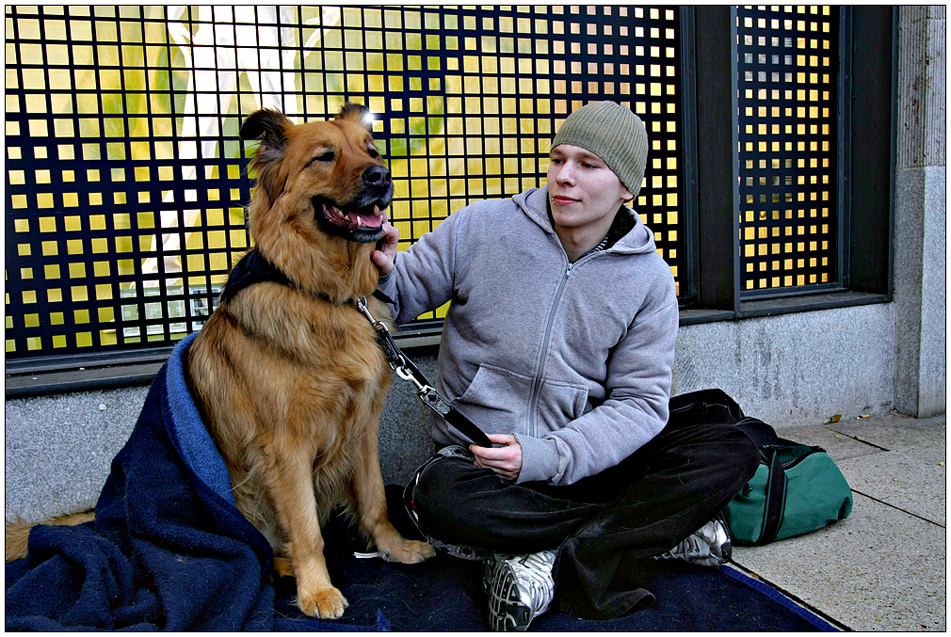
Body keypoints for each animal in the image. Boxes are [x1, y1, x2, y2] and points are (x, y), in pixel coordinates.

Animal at [183, 103, 436, 616]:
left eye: (371, 150)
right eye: (324, 156)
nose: (382, 176)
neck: (325, 293)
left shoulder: (362, 426)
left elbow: (375, 499)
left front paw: (393, 548)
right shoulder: (286, 447)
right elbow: (305, 528)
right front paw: (316, 589)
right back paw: (281, 568)